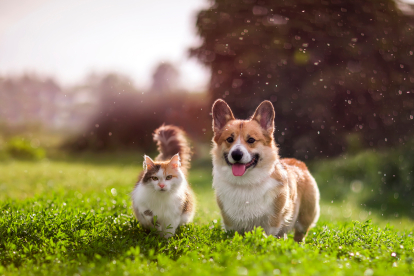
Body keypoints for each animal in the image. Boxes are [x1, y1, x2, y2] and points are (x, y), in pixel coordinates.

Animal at [210, 99, 320, 242]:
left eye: (251, 140)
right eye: (229, 139)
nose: (236, 154)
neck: (245, 183)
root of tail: (298, 162)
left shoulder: (272, 222)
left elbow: (268, 236)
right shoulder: (230, 224)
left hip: (304, 219)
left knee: (299, 236)